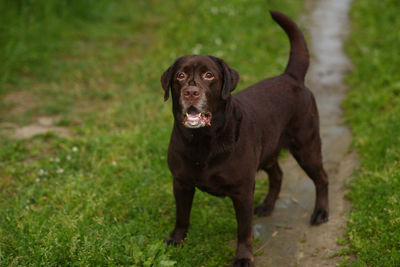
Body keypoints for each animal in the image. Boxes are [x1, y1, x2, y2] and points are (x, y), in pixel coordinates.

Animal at [161, 10, 330, 267]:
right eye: (180, 75)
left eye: (209, 75)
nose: (191, 92)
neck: (204, 141)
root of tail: (291, 77)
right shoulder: (181, 182)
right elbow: (182, 216)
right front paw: (177, 239)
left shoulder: (242, 191)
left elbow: (244, 229)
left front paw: (242, 257)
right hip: (269, 151)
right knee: (278, 174)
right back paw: (268, 205)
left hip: (306, 147)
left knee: (322, 178)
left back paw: (321, 213)